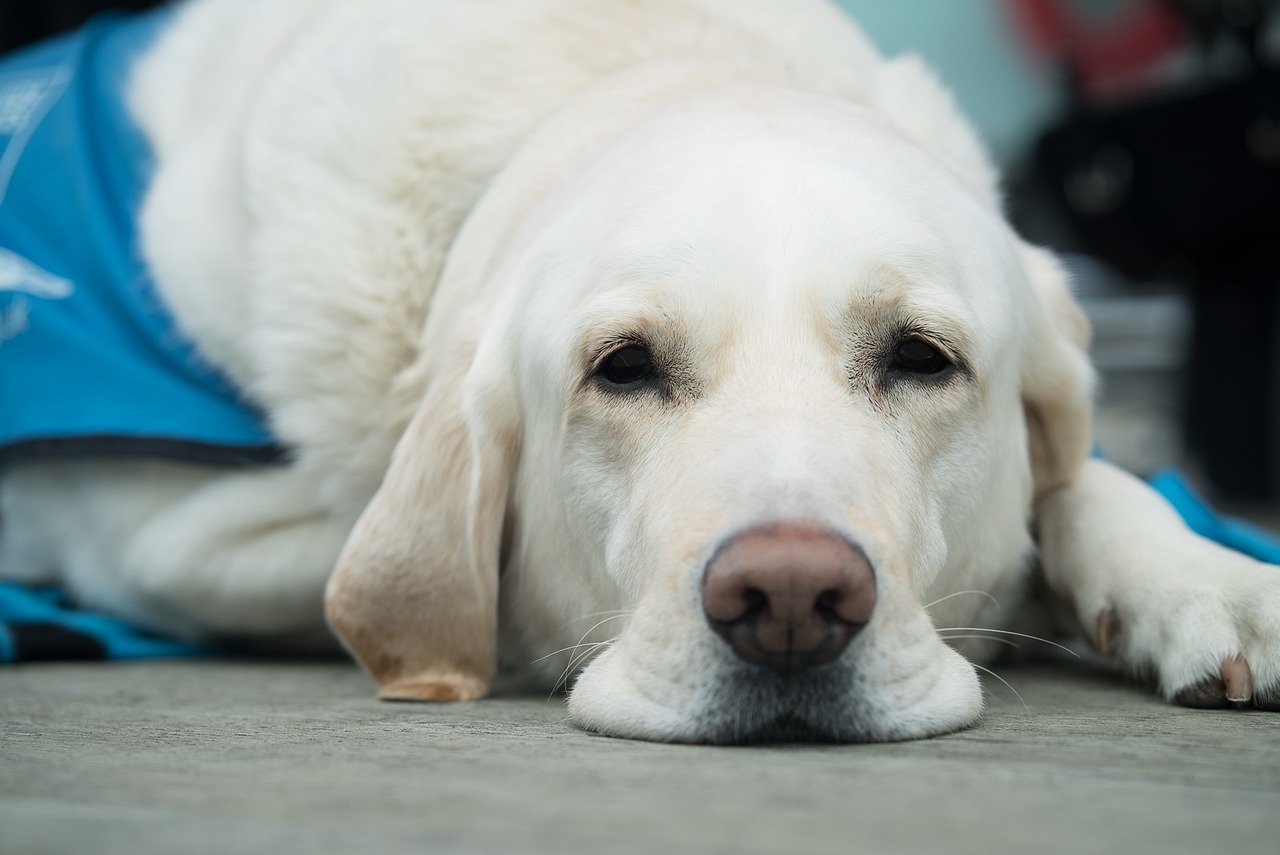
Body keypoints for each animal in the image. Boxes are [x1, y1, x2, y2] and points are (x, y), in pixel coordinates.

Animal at [2, 0, 1280, 742]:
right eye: (621, 369)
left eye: (920, 359)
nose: (788, 601)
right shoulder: (169, 539)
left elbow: (1087, 481)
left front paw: (1199, 577)